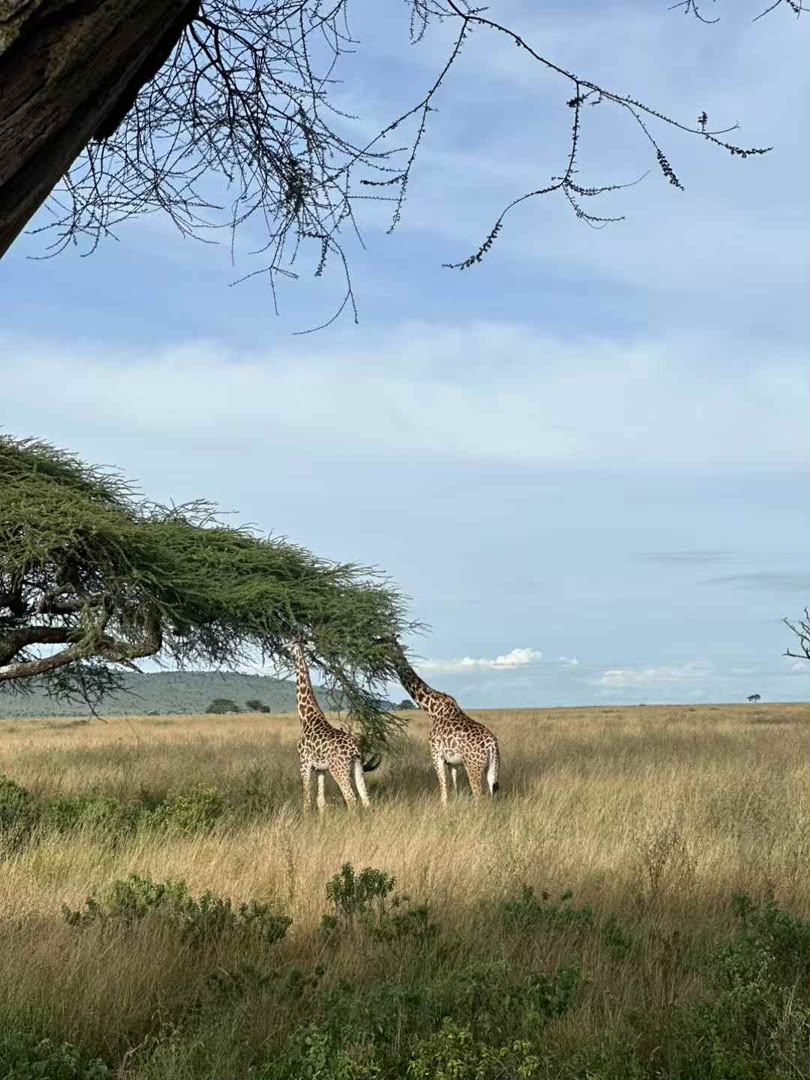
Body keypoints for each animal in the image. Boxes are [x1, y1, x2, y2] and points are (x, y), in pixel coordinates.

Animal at [292, 641, 377, 812]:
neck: (306, 718)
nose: (291, 652)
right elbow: (320, 800)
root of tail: (354, 749)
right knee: (366, 799)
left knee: (351, 798)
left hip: (339, 769)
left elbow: (306, 800)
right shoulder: (320, 768)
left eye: (291, 646)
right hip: (357, 767)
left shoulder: (304, 763)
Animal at [385, 639, 500, 804]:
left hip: (474, 766)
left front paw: (444, 808)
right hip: (492, 767)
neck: (432, 709)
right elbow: (454, 787)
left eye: (386, 641)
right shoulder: (452, 762)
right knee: (492, 795)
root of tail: (492, 745)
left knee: (479, 796)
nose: (375, 643)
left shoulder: (436, 755)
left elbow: (443, 790)